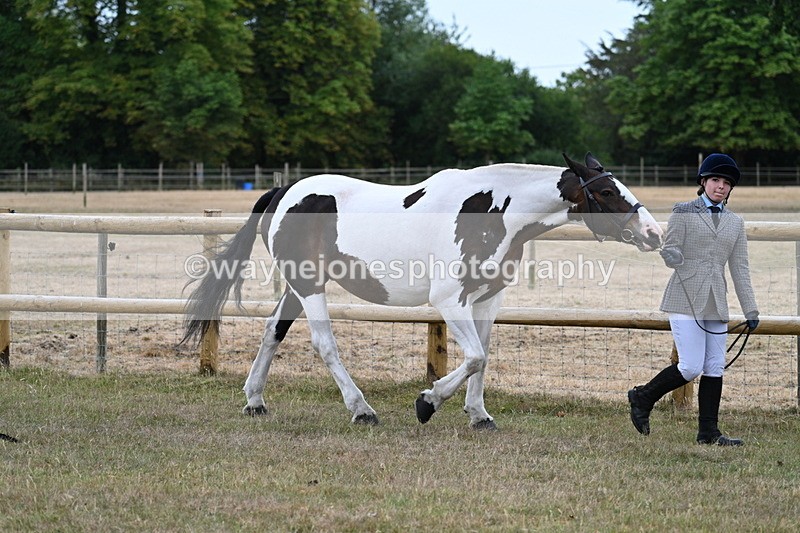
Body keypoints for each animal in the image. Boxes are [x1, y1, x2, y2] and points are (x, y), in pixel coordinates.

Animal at [183, 153, 663, 429]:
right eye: (607, 190)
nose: (653, 234)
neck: (492, 211)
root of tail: (284, 191)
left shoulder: (487, 298)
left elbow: (484, 356)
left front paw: (479, 415)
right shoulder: (449, 300)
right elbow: (474, 357)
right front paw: (428, 402)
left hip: (298, 285)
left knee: (272, 332)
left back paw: (255, 401)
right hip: (309, 285)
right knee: (324, 344)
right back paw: (362, 410)